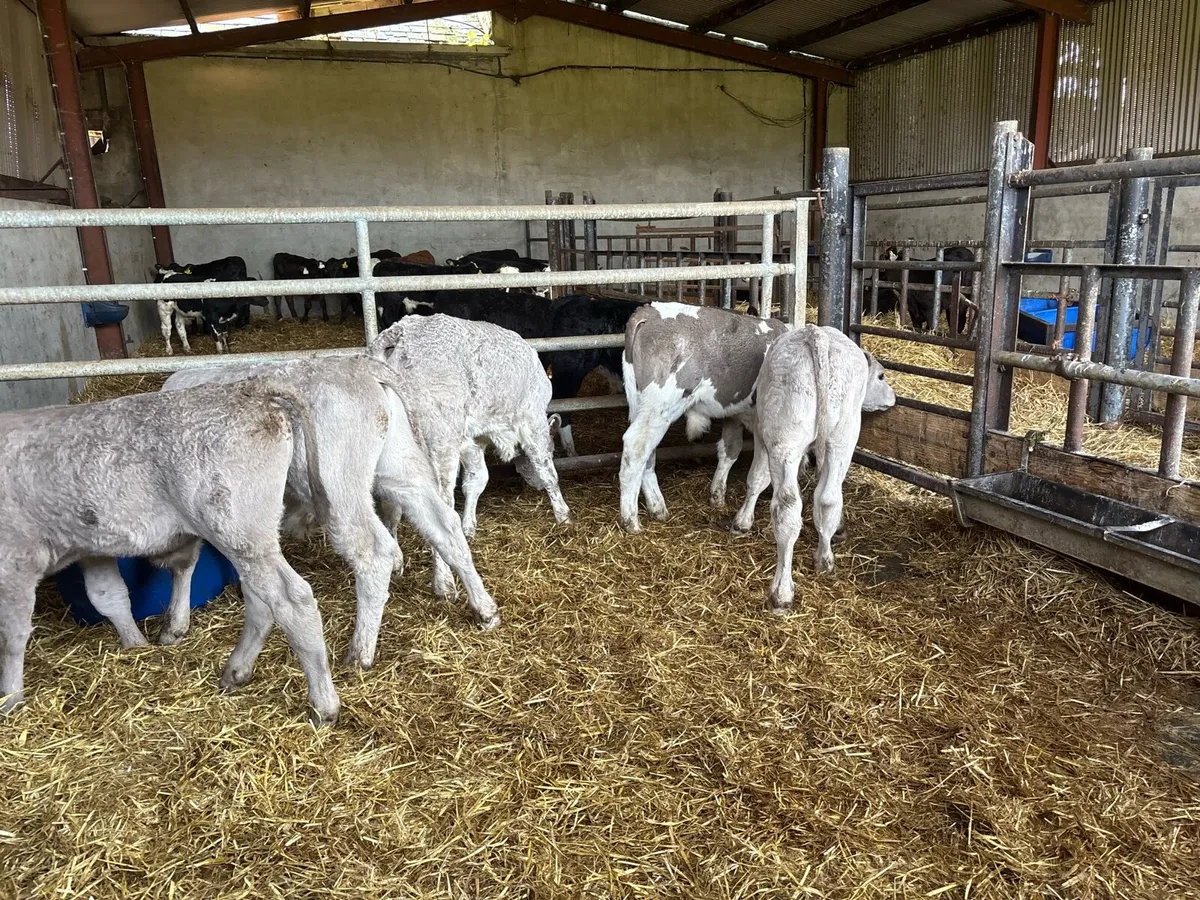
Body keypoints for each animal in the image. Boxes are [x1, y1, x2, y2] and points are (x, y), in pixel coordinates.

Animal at [0, 378, 342, 725]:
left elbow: (12, 636)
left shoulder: (16, 560)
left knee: (292, 599)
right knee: (260, 600)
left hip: (239, 531)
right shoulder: (91, 547)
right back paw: (236, 670)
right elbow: (108, 596)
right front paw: (135, 645)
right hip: (247, 539)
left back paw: (323, 704)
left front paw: (10, 700)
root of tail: (250, 389)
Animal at [161, 356, 501, 669]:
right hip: (401, 469)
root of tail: (361, 368)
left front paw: (176, 622)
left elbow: (186, 561)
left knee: (372, 552)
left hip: (338, 486)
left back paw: (360, 653)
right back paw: (485, 609)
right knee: (444, 527)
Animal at [370, 315, 571, 596]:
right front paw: (563, 514)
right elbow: (547, 470)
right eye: (554, 447)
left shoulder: (470, 440)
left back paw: (396, 562)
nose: (536, 487)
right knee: (439, 509)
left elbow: (477, 480)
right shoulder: (532, 421)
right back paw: (444, 582)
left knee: (391, 505)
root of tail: (402, 332)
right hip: (440, 444)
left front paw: (469, 526)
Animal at [617, 302, 789, 532]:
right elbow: (763, 473)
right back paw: (631, 520)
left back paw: (657, 507)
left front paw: (717, 495)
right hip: (661, 404)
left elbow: (730, 449)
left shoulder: (733, 414)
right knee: (636, 447)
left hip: (640, 403)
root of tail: (649, 311)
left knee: (647, 453)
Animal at [729, 325, 895, 613]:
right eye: (882, 375)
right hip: (843, 437)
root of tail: (818, 335)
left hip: (785, 439)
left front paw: (742, 521)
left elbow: (756, 478)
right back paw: (824, 558)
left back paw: (782, 593)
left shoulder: (762, 435)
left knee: (787, 507)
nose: (894, 397)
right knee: (829, 497)